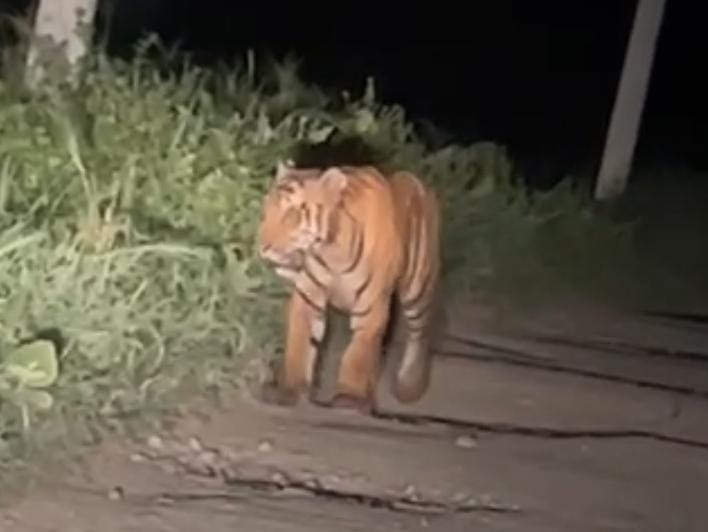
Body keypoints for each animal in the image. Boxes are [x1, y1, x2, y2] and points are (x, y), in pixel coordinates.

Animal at [256, 158, 442, 410]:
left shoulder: (370, 308)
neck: (333, 251)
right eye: (265, 212)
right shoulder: (308, 298)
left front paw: (349, 398)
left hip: (418, 288)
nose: (262, 247)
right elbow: (300, 345)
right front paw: (290, 389)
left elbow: (357, 355)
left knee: (420, 333)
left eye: (293, 214)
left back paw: (409, 386)